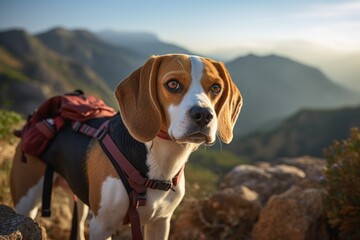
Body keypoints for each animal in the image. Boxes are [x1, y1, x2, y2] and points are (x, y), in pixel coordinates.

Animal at [10, 53, 242, 239]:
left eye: (216, 88)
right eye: (173, 84)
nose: (203, 115)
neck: (162, 161)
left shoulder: (160, 223)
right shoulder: (102, 227)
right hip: (26, 203)